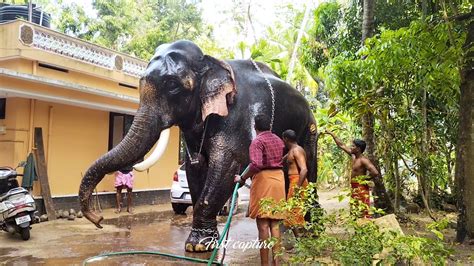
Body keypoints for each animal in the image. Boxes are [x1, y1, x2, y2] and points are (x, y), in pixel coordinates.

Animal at [78, 40, 318, 252]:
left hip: (310, 129)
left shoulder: (236, 114)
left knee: (309, 171)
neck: (211, 62)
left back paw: (310, 231)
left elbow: (226, 165)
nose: (98, 220)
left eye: (172, 85)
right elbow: (196, 168)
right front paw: (202, 243)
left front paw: (199, 245)